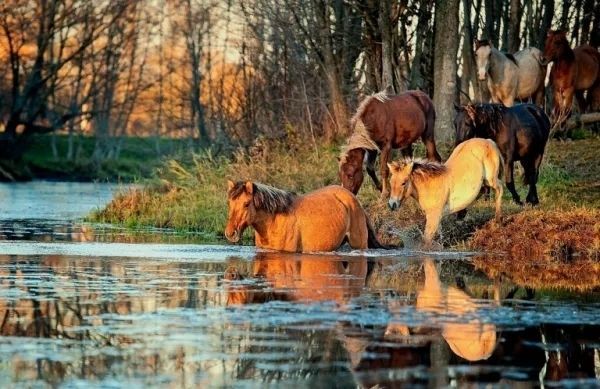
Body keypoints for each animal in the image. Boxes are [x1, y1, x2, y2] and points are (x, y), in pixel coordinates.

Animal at [225, 180, 384, 252]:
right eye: (230, 203)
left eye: (246, 204)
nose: (230, 233)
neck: (274, 221)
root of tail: (355, 200)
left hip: (359, 244)